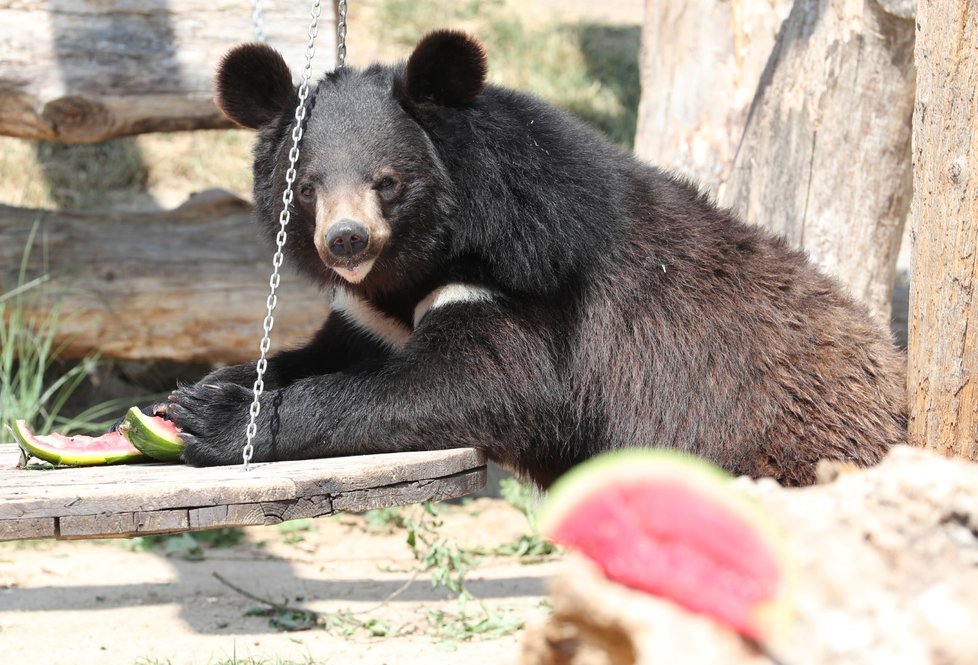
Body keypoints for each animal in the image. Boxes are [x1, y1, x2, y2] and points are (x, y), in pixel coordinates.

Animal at [156, 29, 904, 488]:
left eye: (387, 181)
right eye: (306, 187)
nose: (346, 240)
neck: (429, 261)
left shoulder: (527, 289)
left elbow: (464, 384)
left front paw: (218, 421)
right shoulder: (371, 314)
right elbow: (324, 351)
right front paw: (191, 393)